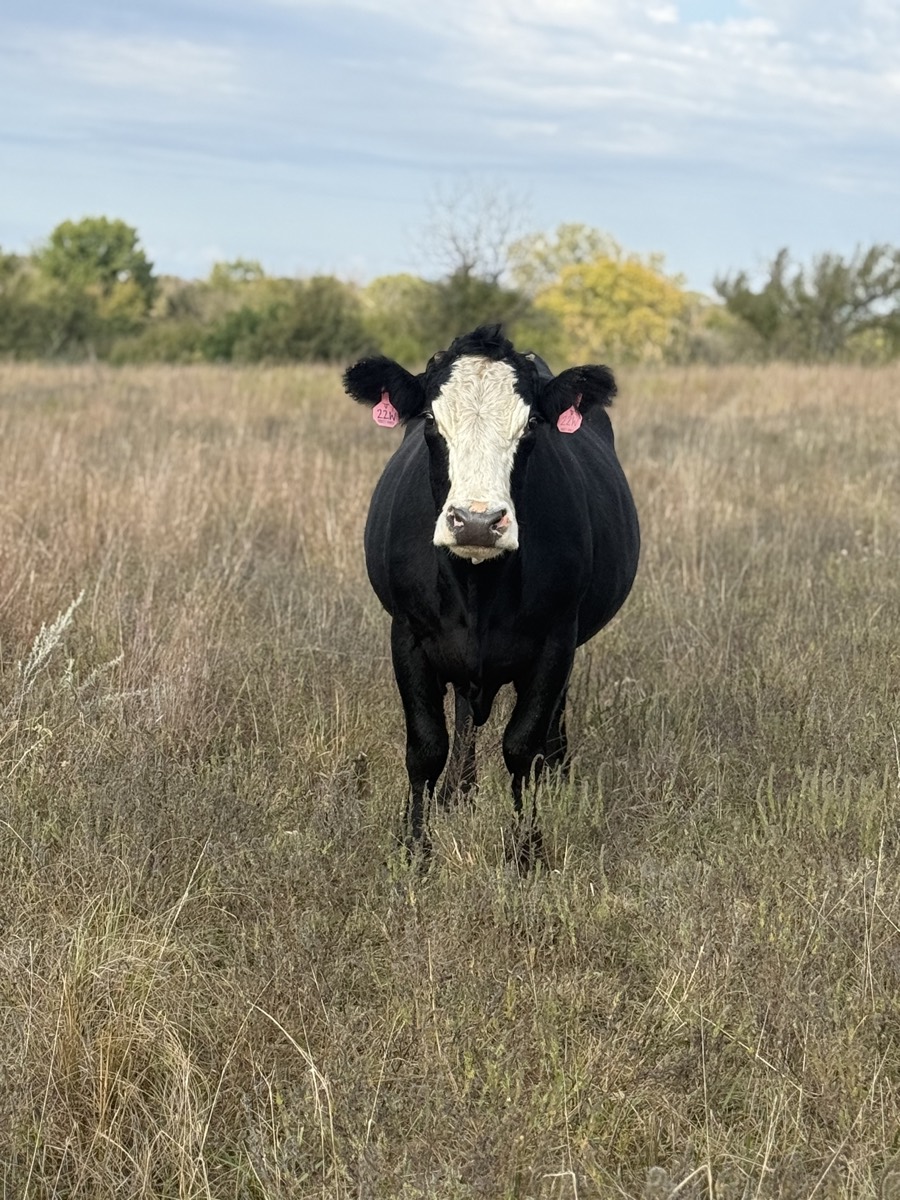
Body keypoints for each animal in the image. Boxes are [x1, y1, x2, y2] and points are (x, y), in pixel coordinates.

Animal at [343, 325, 639, 864]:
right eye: (431, 422)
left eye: (531, 427)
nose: (477, 521)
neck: (477, 589)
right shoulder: (408, 636)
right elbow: (426, 746)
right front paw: (415, 847)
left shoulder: (555, 640)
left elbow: (523, 746)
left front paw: (527, 850)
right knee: (464, 716)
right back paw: (457, 793)